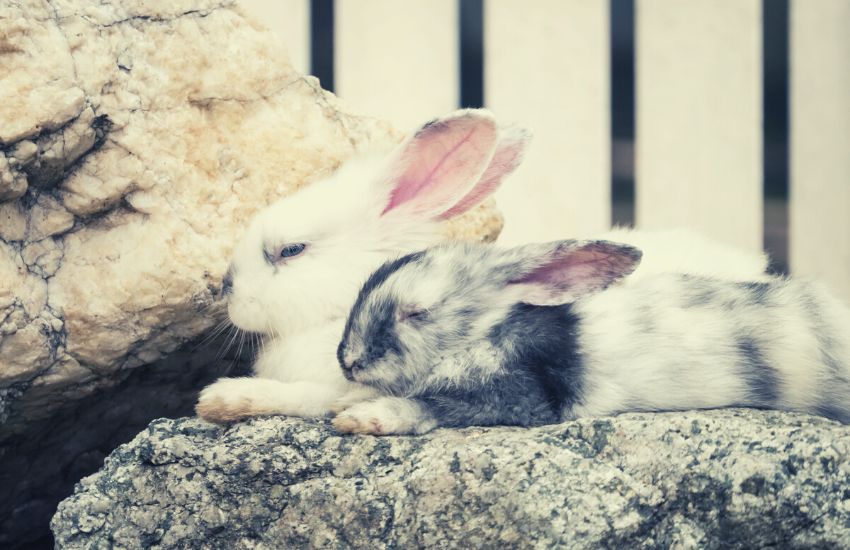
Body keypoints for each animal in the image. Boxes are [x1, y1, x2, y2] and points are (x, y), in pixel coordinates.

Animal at [332, 242, 848, 436]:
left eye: (417, 313)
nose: (347, 361)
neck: (485, 333)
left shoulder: (516, 399)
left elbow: (428, 406)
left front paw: (362, 418)